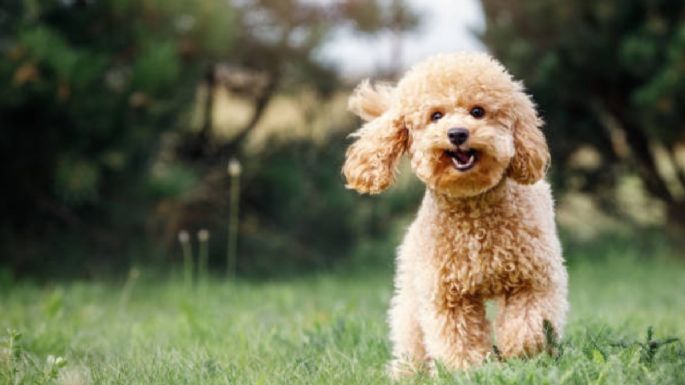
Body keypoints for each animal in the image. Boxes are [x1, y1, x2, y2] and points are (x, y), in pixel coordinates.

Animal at [340, 51, 568, 376]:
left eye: (478, 111)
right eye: (436, 115)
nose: (458, 133)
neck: (472, 207)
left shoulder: (533, 279)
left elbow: (529, 323)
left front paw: (522, 355)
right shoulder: (447, 294)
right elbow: (457, 337)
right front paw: (468, 370)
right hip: (411, 291)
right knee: (410, 335)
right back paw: (406, 372)